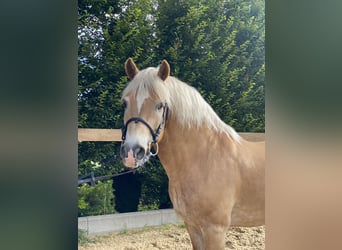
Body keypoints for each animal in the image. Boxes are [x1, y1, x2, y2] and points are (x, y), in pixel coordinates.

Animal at [119, 57, 264, 249]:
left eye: (160, 105)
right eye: (125, 103)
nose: (131, 152)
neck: (204, 159)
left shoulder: (215, 230)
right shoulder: (192, 226)